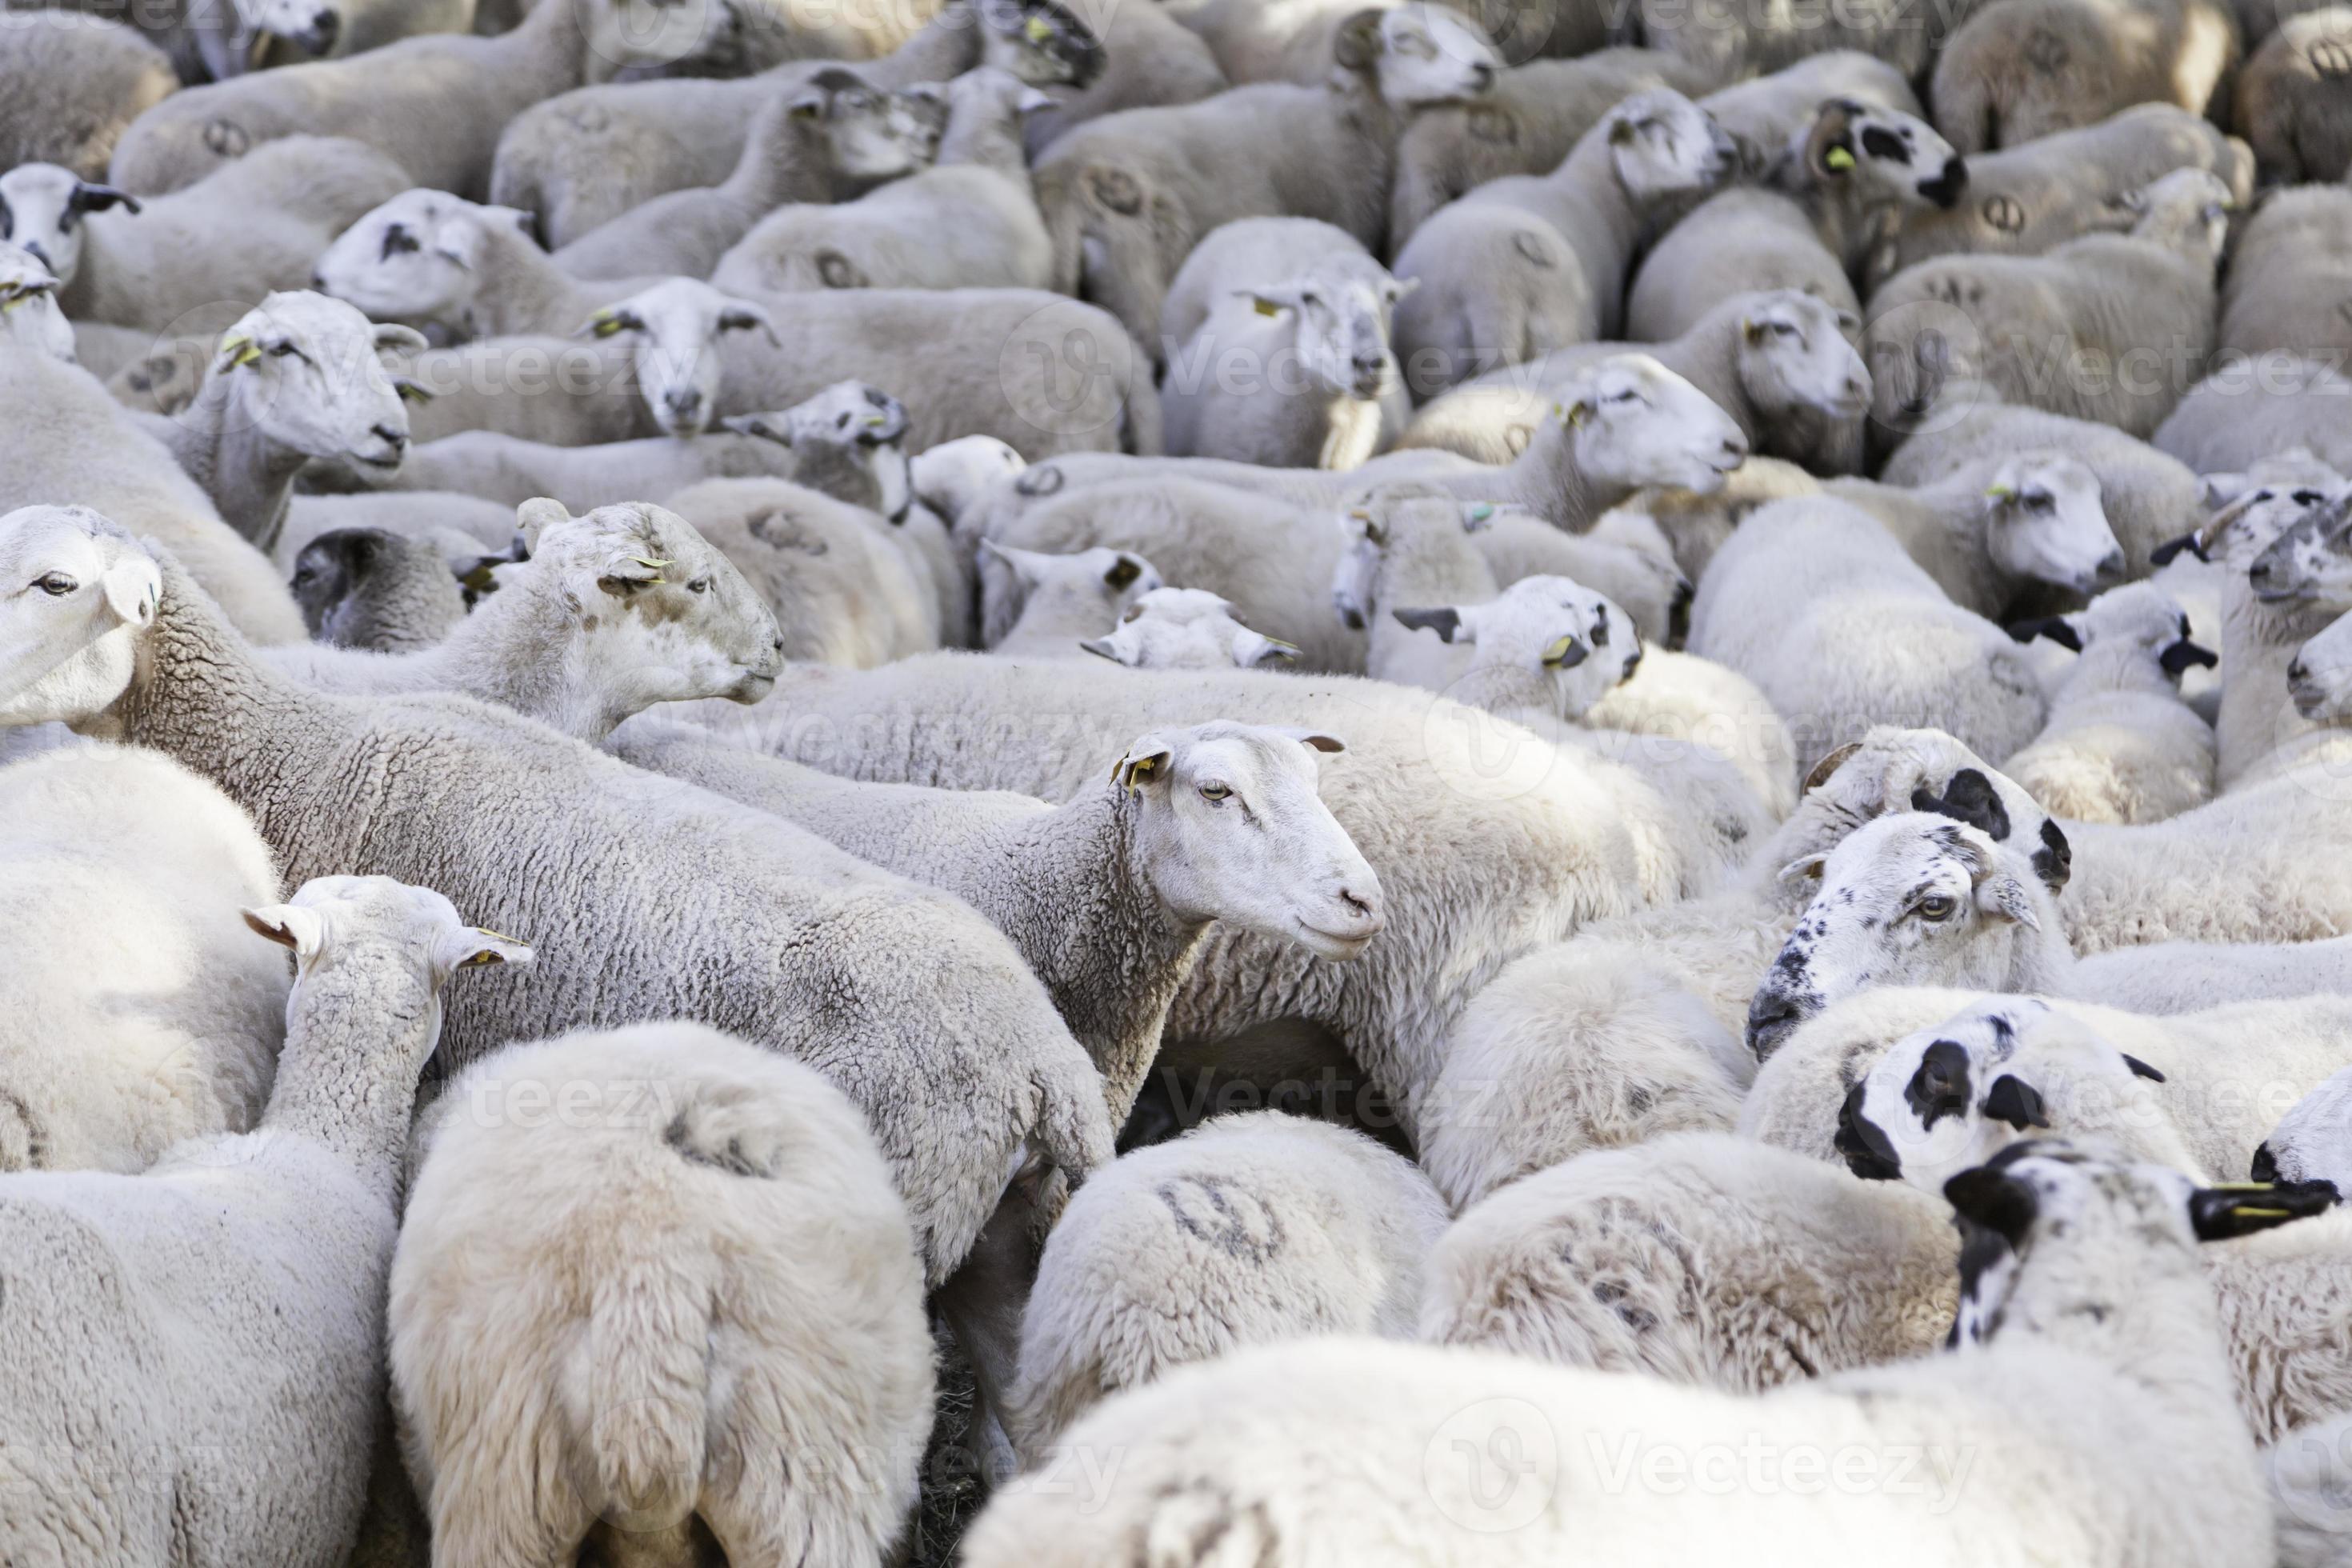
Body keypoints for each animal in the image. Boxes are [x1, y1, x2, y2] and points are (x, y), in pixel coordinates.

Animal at [1033, 5, 1502, 354]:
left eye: (1466, 29)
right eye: (1405, 40)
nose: (1484, 68)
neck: (1355, 124)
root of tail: (1062, 180)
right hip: (1139, 281)